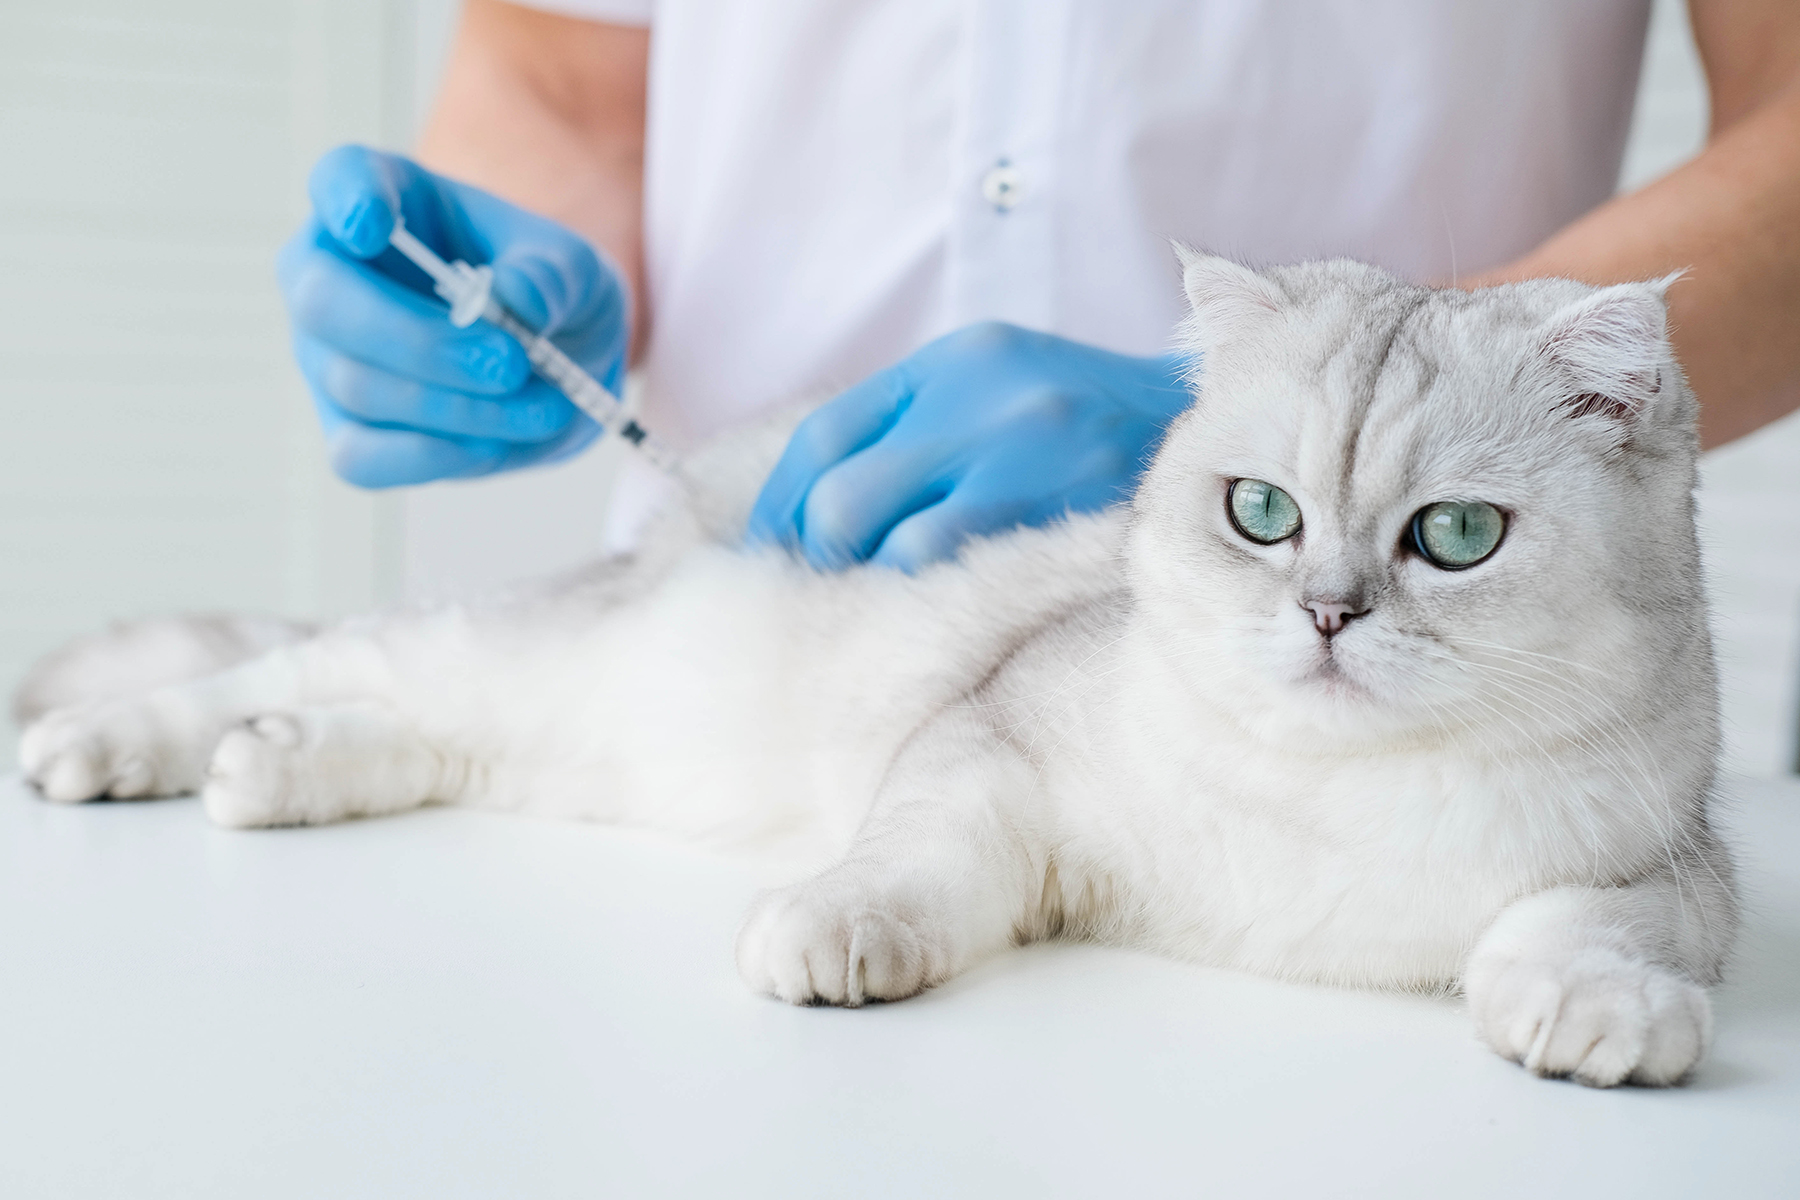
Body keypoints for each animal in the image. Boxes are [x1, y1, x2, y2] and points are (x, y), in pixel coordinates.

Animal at [10, 251, 1728, 1086]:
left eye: (1456, 537)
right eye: (1262, 514)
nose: (1324, 614)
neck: (1326, 801)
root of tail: (687, 501)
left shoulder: (1671, 873)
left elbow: (1582, 932)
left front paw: (1599, 1019)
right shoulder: (990, 747)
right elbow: (916, 858)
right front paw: (840, 933)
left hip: (548, 735)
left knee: (397, 728)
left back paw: (277, 763)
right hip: (512, 649)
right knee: (298, 662)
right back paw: (114, 743)